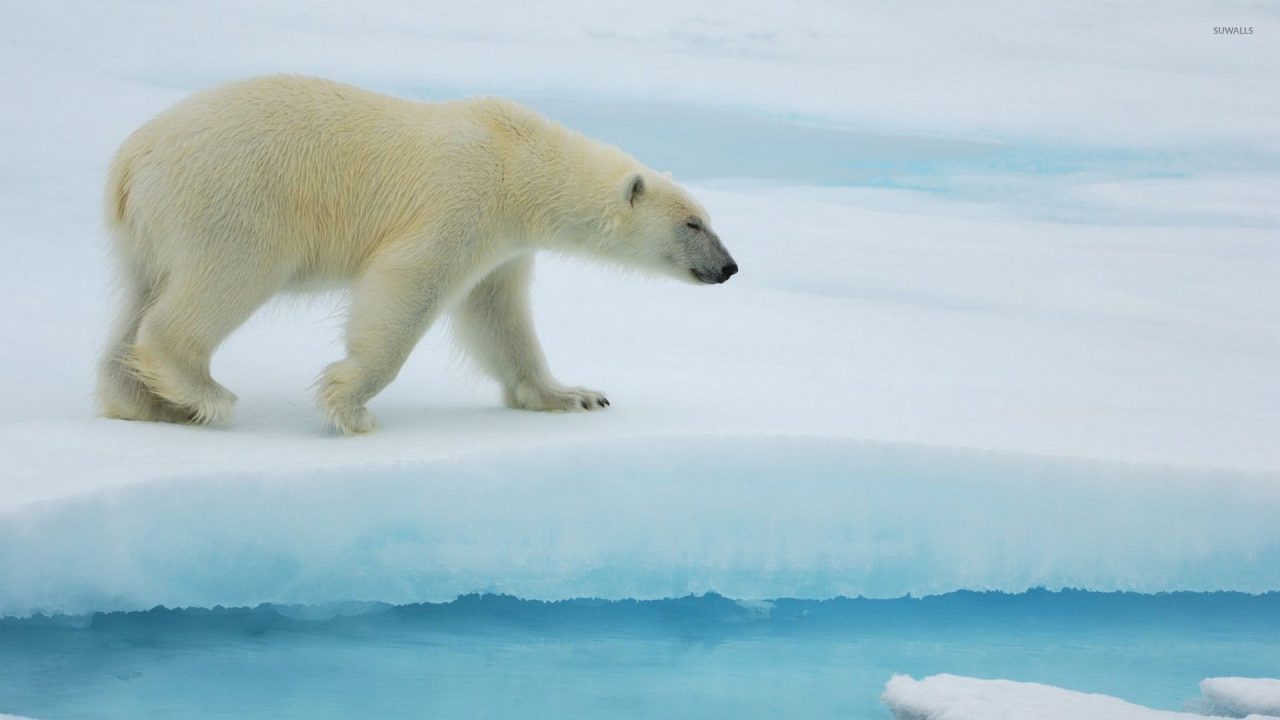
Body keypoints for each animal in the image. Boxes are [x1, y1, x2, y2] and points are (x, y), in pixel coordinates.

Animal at [94, 74, 737, 430]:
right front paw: (349, 404)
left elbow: (498, 316)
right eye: (692, 223)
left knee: (137, 298)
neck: (519, 160)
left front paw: (575, 395)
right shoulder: (463, 200)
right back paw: (203, 392)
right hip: (232, 200)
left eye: (709, 220)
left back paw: (145, 402)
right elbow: (409, 284)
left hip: (147, 230)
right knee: (220, 283)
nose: (729, 268)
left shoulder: (504, 244)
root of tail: (133, 157)